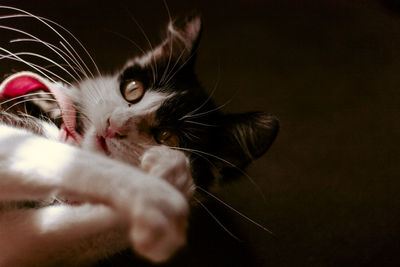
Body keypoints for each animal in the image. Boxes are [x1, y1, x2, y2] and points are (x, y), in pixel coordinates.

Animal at [0, 7, 278, 267]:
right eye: (133, 89)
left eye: (167, 137)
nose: (114, 125)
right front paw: (157, 194)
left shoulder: (19, 241)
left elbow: (33, 240)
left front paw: (174, 182)